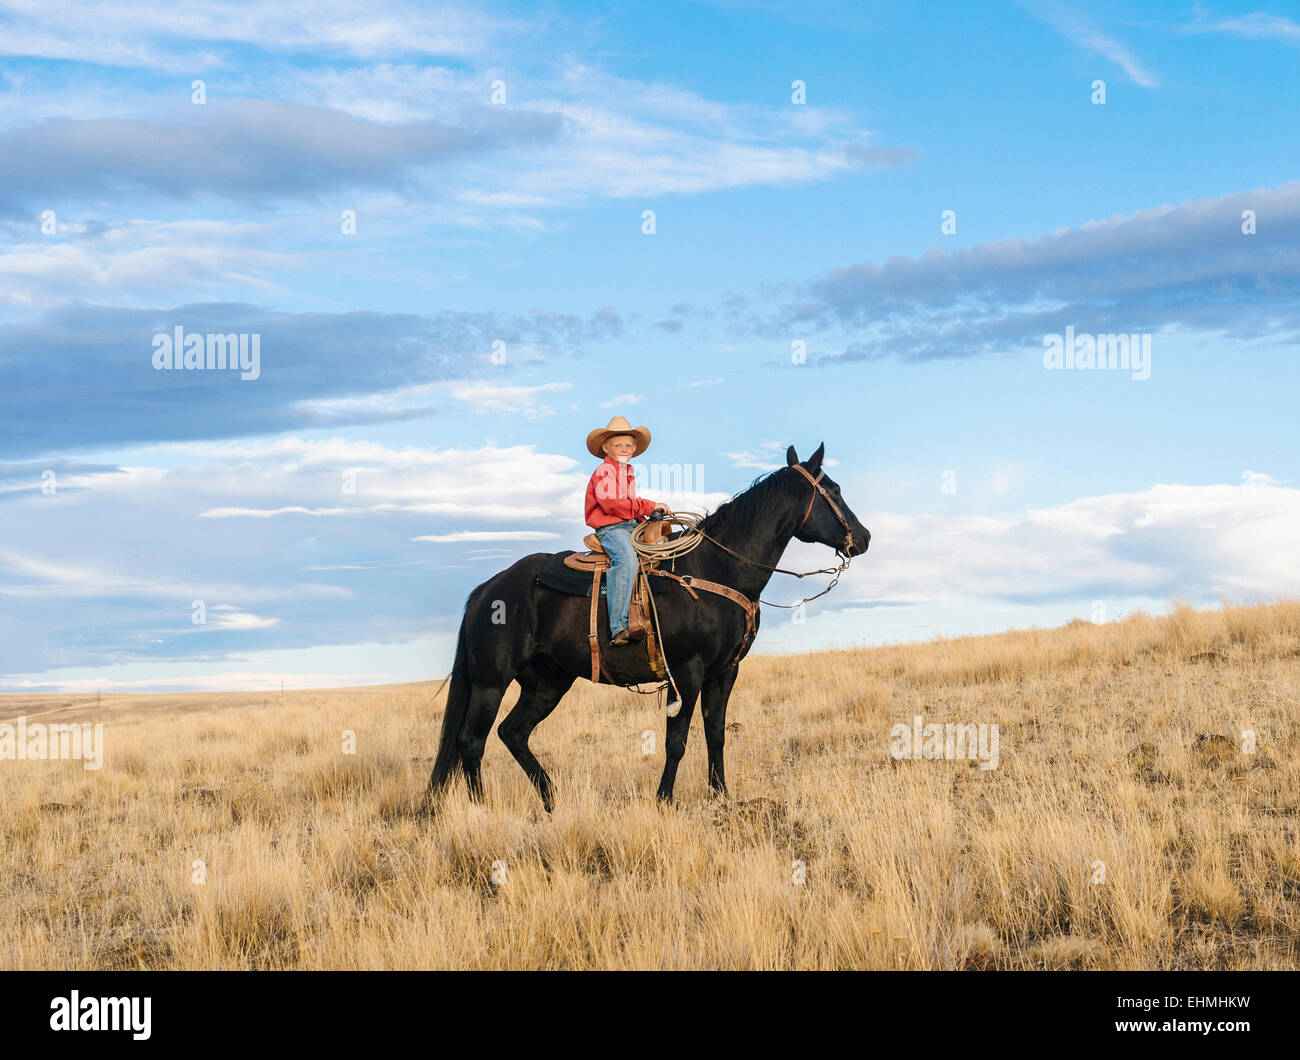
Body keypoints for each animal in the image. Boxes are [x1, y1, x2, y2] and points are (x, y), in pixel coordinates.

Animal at [426, 442, 871, 811]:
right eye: (833, 490)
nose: (864, 538)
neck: (716, 567)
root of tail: (487, 590)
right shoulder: (687, 671)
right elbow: (677, 740)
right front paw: (664, 799)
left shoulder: (725, 672)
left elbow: (716, 734)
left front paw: (721, 796)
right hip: (491, 681)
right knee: (472, 741)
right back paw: (483, 808)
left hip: (548, 683)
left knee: (512, 733)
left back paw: (552, 800)